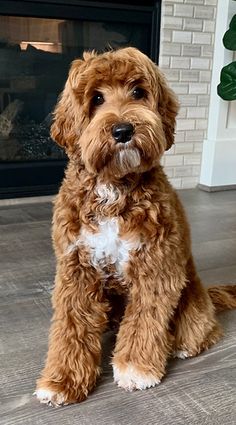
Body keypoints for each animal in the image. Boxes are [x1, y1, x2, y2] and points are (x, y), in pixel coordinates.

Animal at [35, 46, 236, 404]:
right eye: (96, 98)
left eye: (138, 92)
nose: (123, 131)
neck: (114, 189)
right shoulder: (76, 267)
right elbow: (71, 326)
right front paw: (62, 379)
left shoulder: (156, 267)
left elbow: (145, 321)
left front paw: (135, 368)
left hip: (192, 302)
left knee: (202, 331)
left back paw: (181, 344)